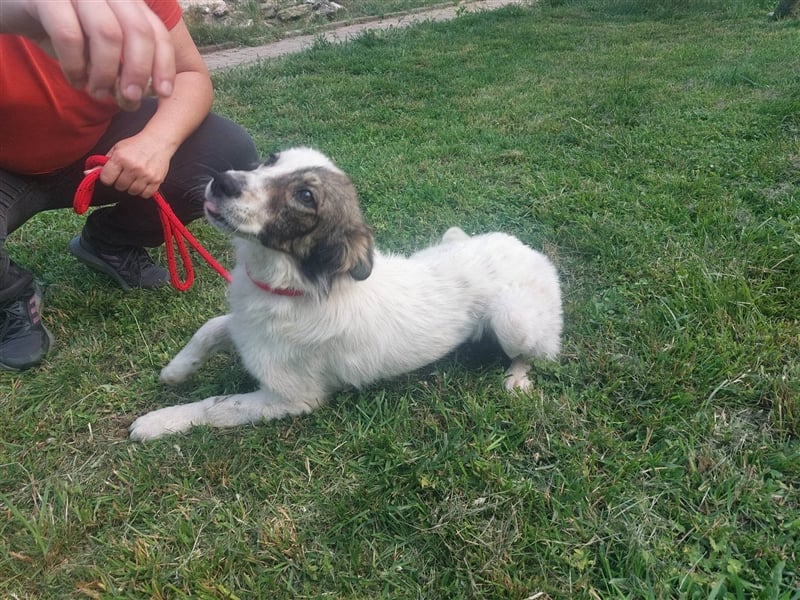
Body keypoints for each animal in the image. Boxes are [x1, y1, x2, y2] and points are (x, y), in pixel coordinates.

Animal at [128, 148, 562, 441]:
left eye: (305, 196)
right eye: (270, 159)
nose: (223, 181)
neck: (287, 287)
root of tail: (532, 251)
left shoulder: (292, 399)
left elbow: (215, 407)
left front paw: (158, 421)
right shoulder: (240, 325)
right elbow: (210, 327)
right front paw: (176, 370)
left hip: (513, 322)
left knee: (540, 352)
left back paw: (516, 377)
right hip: (452, 237)